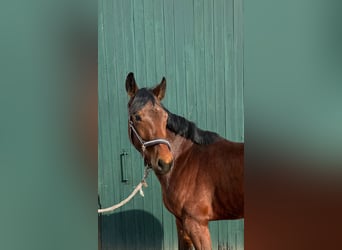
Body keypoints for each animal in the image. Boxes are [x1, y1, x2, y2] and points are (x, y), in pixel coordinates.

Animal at [125, 73, 243, 250]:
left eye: (165, 117)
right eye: (137, 116)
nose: (165, 163)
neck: (185, 158)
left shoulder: (197, 224)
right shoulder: (181, 222)